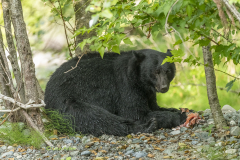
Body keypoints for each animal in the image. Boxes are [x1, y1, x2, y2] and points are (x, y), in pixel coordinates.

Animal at [44, 49, 186, 136]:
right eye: (155, 71)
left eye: (168, 71)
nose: (163, 87)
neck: (139, 80)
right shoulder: (125, 86)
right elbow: (135, 113)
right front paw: (178, 117)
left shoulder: (148, 92)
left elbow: (154, 106)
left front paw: (180, 110)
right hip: (66, 101)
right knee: (95, 117)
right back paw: (147, 126)